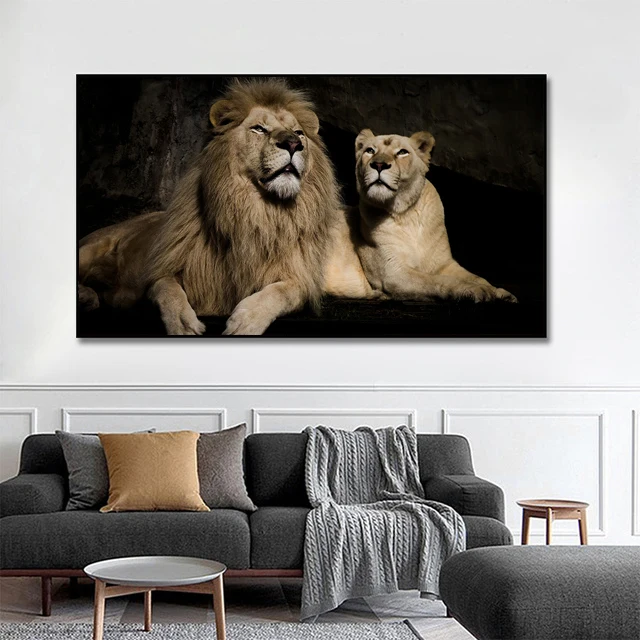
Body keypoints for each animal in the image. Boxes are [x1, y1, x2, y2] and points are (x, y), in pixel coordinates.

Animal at [79, 79, 364, 335]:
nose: (294, 143)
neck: (260, 210)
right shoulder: (167, 267)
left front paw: (245, 321)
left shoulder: (300, 276)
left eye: (300, 133)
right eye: (259, 129)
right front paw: (183, 325)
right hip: (91, 248)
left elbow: (282, 292)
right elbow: (167, 289)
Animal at [352, 128, 518, 304]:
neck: (406, 214)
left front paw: (499, 292)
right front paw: (477, 290)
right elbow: (437, 280)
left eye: (402, 152)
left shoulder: (444, 264)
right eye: (370, 151)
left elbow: (477, 277)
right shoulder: (392, 272)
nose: (379, 164)